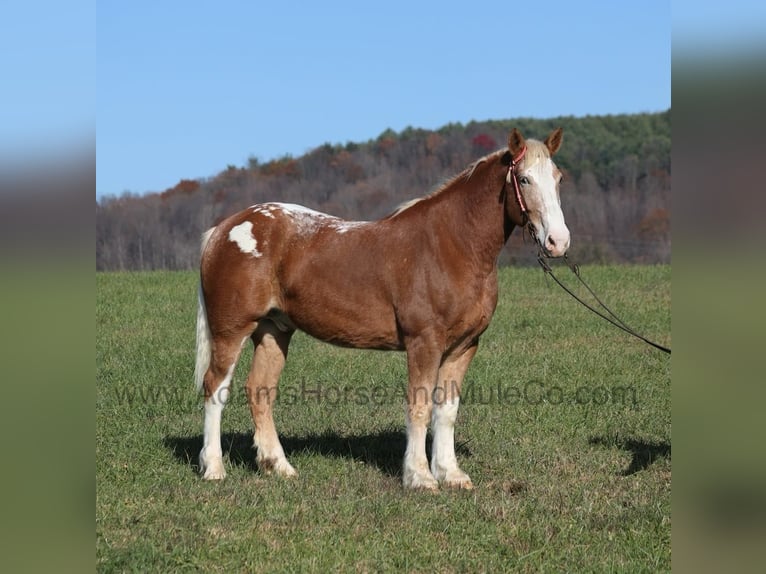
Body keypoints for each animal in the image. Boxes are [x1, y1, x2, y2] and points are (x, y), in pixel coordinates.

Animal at [194, 127, 569, 489]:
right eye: (524, 179)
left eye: (558, 177)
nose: (558, 241)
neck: (450, 245)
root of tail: (223, 229)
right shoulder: (424, 343)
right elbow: (419, 407)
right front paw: (420, 477)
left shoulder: (463, 346)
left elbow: (446, 411)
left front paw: (451, 474)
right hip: (231, 331)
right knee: (216, 388)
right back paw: (213, 469)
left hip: (274, 331)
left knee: (260, 391)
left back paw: (279, 467)